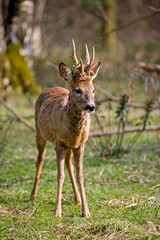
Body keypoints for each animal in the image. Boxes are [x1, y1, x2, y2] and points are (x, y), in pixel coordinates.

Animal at [29, 39, 100, 218]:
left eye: (93, 89)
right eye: (78, 90)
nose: (91, 106)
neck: (73, 132)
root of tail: (50, 88)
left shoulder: (80, 144)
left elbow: (80, 175)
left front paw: (86, 212)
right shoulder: (59, 142)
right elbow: (59, 175)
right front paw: (57, 211)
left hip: (69, 147)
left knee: (68, 164)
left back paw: (77, 199)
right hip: (39, 133)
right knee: (40, 159)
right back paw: (32, 195)